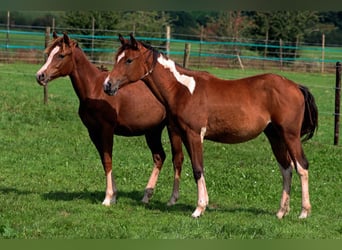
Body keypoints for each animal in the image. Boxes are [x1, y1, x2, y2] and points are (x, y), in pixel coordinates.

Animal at [35, 32, 184, 207]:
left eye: (61, 55)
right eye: (50, 54)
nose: (40, 76)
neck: (94, 89)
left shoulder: (107, 129)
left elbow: (107, 160)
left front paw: (107, 198)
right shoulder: (93, 132)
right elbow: (104, 159)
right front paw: (113, 196)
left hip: (172, 130)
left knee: (177, 159)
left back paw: (172, 199)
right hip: (152, 131)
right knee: (159, 156)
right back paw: (146, 196)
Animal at [103, 33, 318, 219]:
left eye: (128, 60)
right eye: (116, 58)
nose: (108, 85)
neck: (182, 89)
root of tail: (295, 86)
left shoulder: (194, 134)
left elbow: (198, 169)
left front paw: (199, 209)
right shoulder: (185, 135)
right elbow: (195, 167)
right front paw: (201, 204)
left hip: (290, 135)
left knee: (301, 167)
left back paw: (304, 212)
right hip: (275, 136)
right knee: (286, 169)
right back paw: (281, 212)